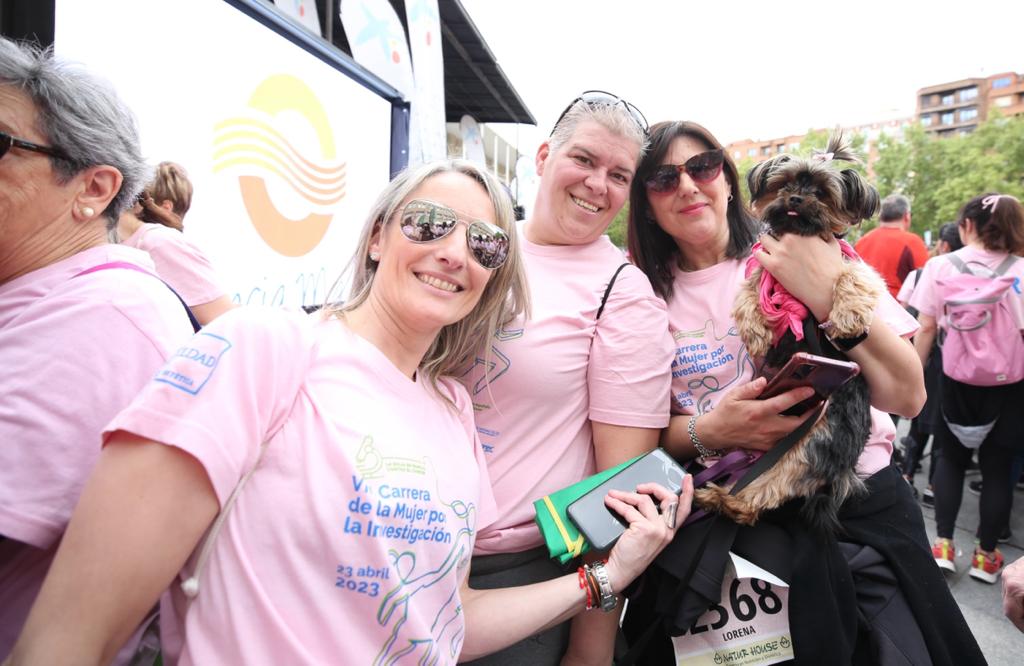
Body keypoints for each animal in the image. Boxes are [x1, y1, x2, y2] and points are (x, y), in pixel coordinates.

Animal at [696, 133, 888, 528]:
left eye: (822, 192)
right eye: (784, 184)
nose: (797, 199)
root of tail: (843, 473)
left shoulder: (848, 259)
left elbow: (855, 275)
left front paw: (846, 315)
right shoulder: (765, 267)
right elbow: (751, 285)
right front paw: (756, 329)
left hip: (814, 440)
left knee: (772, 487)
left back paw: (727, 500)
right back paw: (718, 495)